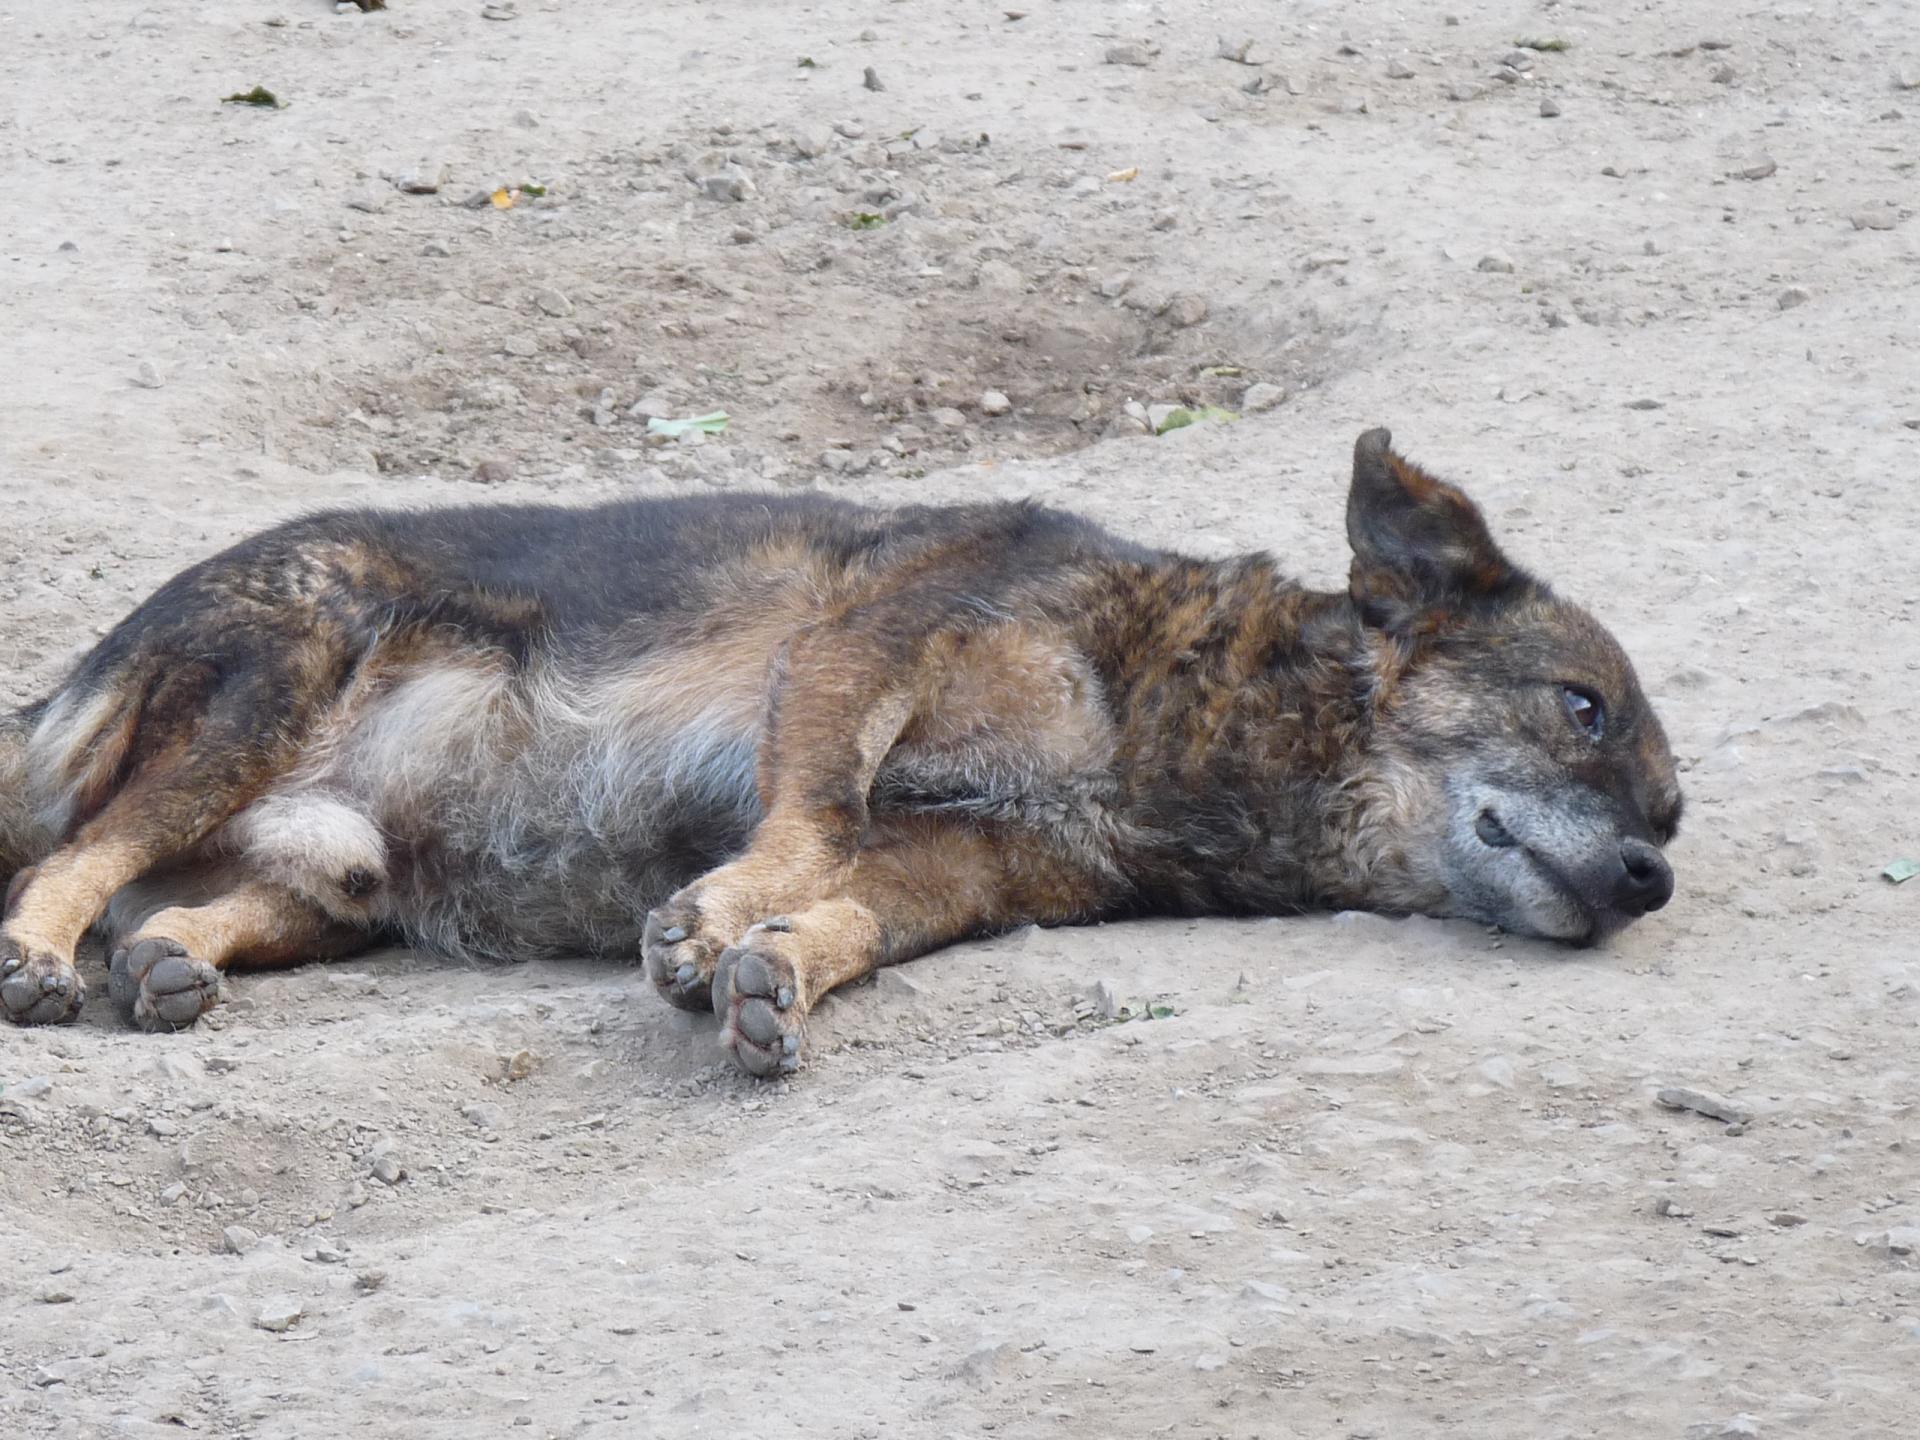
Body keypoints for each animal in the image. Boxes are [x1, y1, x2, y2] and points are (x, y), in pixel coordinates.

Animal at [0, 433, 1681, 1075]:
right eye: (1580, 710)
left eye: (1671, 812)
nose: (1651, 881)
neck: (1172, 718)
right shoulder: (866, 647)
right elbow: (804, 825)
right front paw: (718, 920)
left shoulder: (969, 868)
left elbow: (857, 915)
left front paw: (777, 972)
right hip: (264, 690)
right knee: (79, 853)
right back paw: (39, 954)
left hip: (340, 875)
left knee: (186, 901)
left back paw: (170, 961)